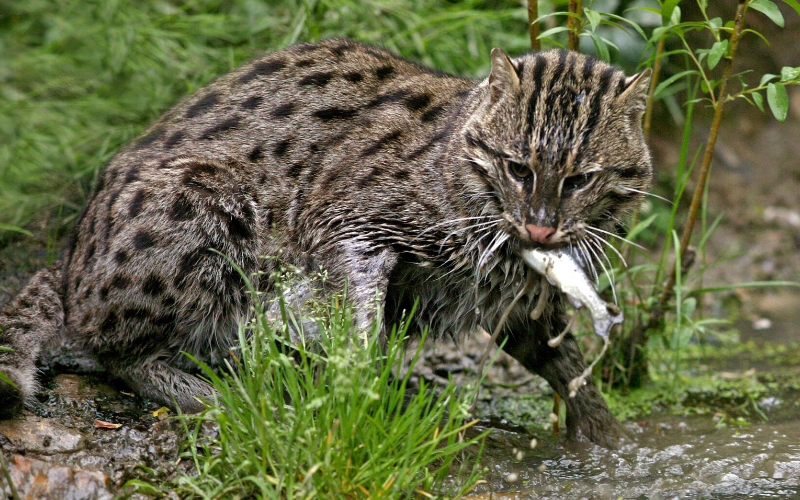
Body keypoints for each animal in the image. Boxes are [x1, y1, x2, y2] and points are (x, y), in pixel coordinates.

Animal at [0, 38, 648, 446]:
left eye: (581, 179)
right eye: (517, 168)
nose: (540, 227)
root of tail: (68, 259)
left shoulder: (513, 300)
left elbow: (564, 363)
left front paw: (608, 438)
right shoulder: (347, 218)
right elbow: (360, 302)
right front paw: (358, 376)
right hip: (206, 204)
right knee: (116, 348)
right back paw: (212, 392)